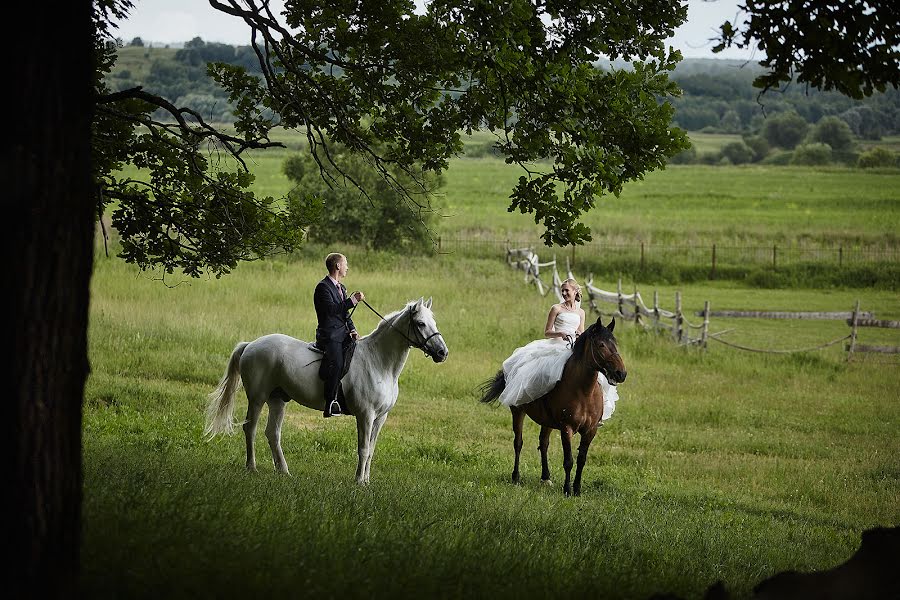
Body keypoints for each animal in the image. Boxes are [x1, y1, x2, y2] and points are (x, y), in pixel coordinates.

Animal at [202, 298, 444, 486]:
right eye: (421, 323)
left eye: (434, 322)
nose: (442, 352)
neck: (379, 362)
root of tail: (251, 344)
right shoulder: (365, 415)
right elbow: (364, 448)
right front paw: (359, 482)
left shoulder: (380, 417)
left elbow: (372, 449)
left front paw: (366, 480)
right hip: (257, 398)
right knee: (250, 428)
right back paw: (252, 467)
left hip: (277, 400)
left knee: (272, 433)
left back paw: (284, 471)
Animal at [478, 316, 624, 494]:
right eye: (601, 345)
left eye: (615, 344)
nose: (621, 373)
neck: (583, 392)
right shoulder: (566, 428)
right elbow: (568, 461)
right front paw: (567, 490)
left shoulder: (591, 430)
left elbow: (581, 459)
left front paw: (577, 490)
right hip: (518, 412)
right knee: (518, 443)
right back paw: (516, 477)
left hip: (546, 421)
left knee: (543, 444)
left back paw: (545, 478)